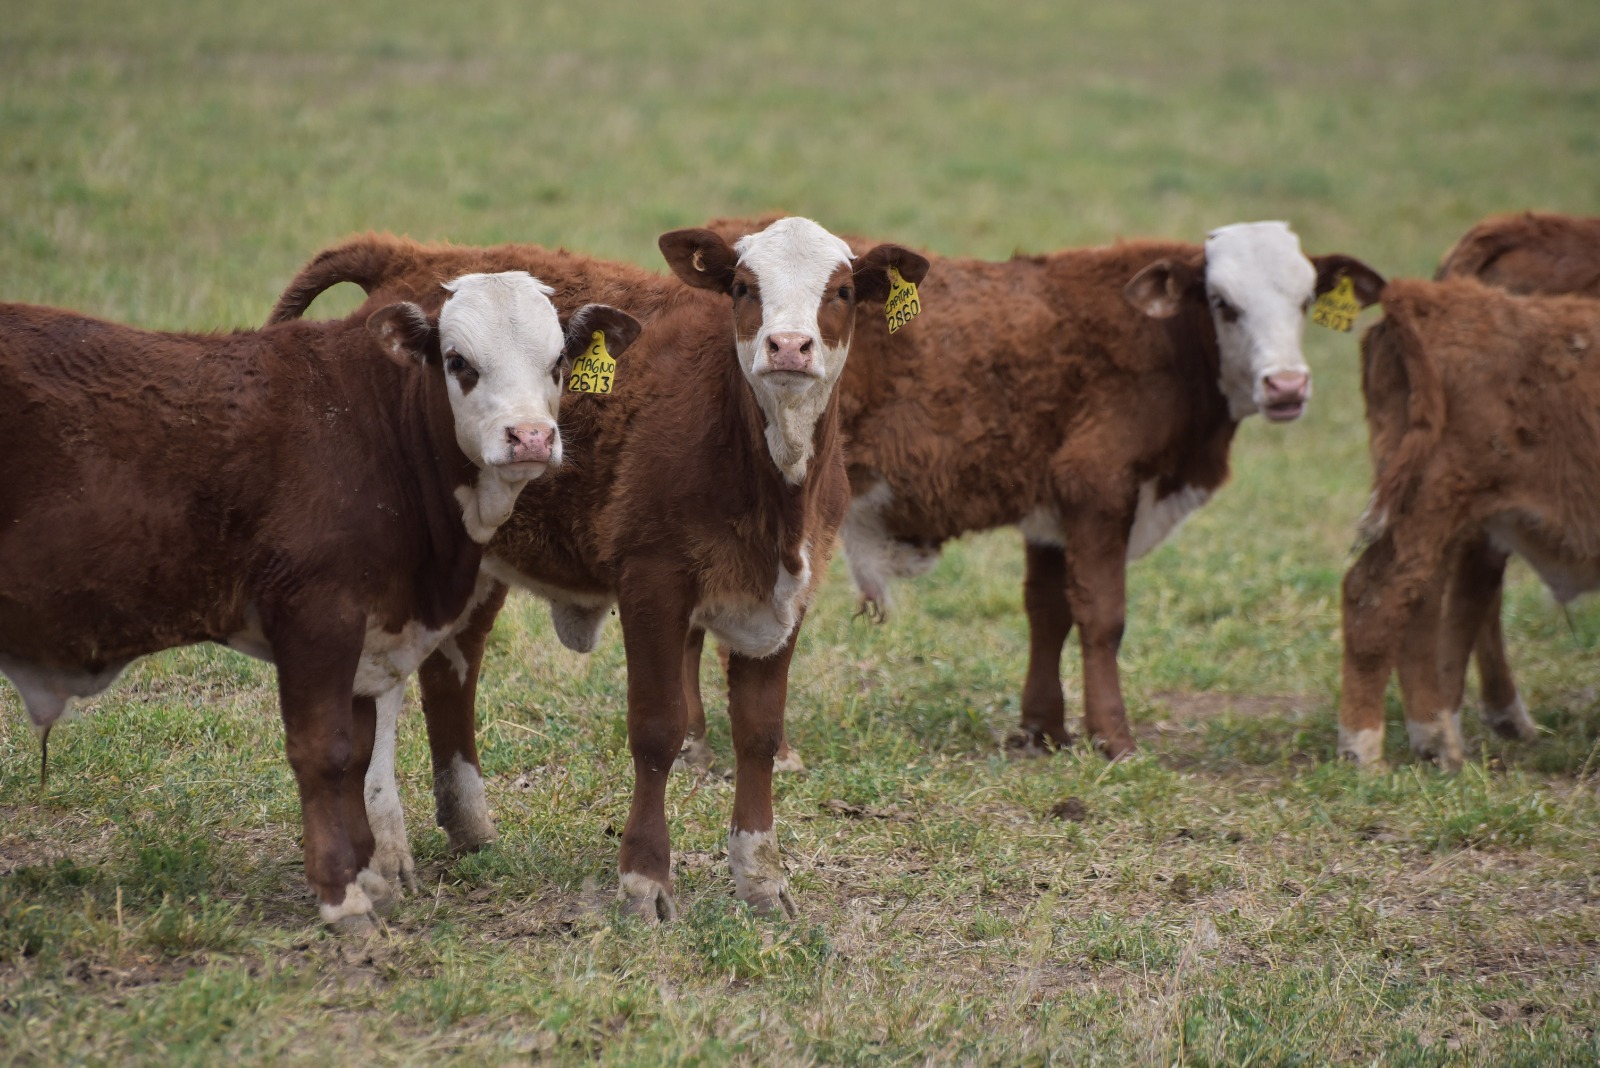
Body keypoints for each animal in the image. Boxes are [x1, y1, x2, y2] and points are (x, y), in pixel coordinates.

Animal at [0, 279, 636, 927]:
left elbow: (359, 754)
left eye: (558, 362)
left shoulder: (369, 637)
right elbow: (323, 751)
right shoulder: (318, 618)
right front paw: (341, 895)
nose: (531, 437)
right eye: (459, 362)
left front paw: (368, 875)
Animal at [270, 217, 934, 920]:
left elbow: (759, 733)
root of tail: (406, 254)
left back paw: (468, 823)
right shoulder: (652, 580)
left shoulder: (790, 593)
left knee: (452, 668)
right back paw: (385, 853)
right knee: (384, 690)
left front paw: (762, 878)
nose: (787, 346)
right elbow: (657, 728)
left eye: (841, 291)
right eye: (743, 288)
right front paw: (645, 880)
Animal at [1337, 279, 1600, 770]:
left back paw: (1437, 742)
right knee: (1375, 596)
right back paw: (1363, 751)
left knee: (1420, 602)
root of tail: (1432, 297)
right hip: (1433, 499)